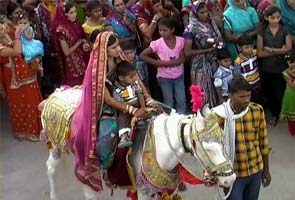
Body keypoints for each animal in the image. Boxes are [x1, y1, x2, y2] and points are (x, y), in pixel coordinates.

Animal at [40, 88, 237, 200]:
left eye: (223, 141)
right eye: (208, 148)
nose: (229, 179)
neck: (160, 147)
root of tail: (57, 92)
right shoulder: (143, 190)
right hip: (58, 147)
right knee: (52, 169)